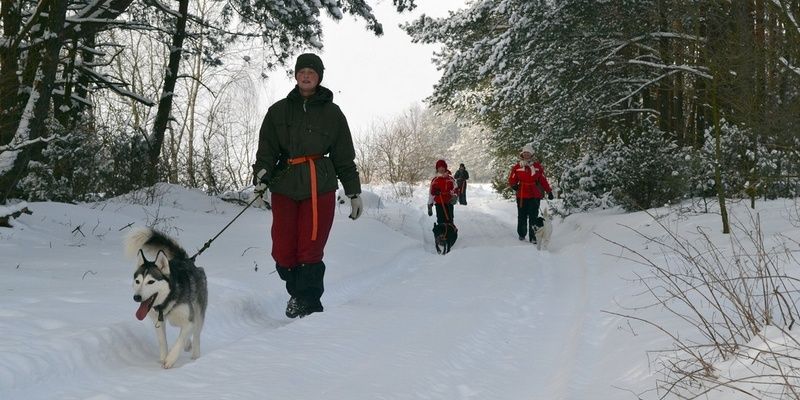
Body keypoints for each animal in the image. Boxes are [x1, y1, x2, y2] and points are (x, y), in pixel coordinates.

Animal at [124, 228, 206, 368]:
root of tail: (185, 260)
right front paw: (163, 357)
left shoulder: (189, 320)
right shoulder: (158, 322)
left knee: (196, 333)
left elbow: (181, 339)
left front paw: (170, 359)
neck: (168, 300)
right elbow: (163, 342)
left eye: (151, 282)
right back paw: (188, 345)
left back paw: (195, 354)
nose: (137, 297)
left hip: (198, 310)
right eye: (137, 281)